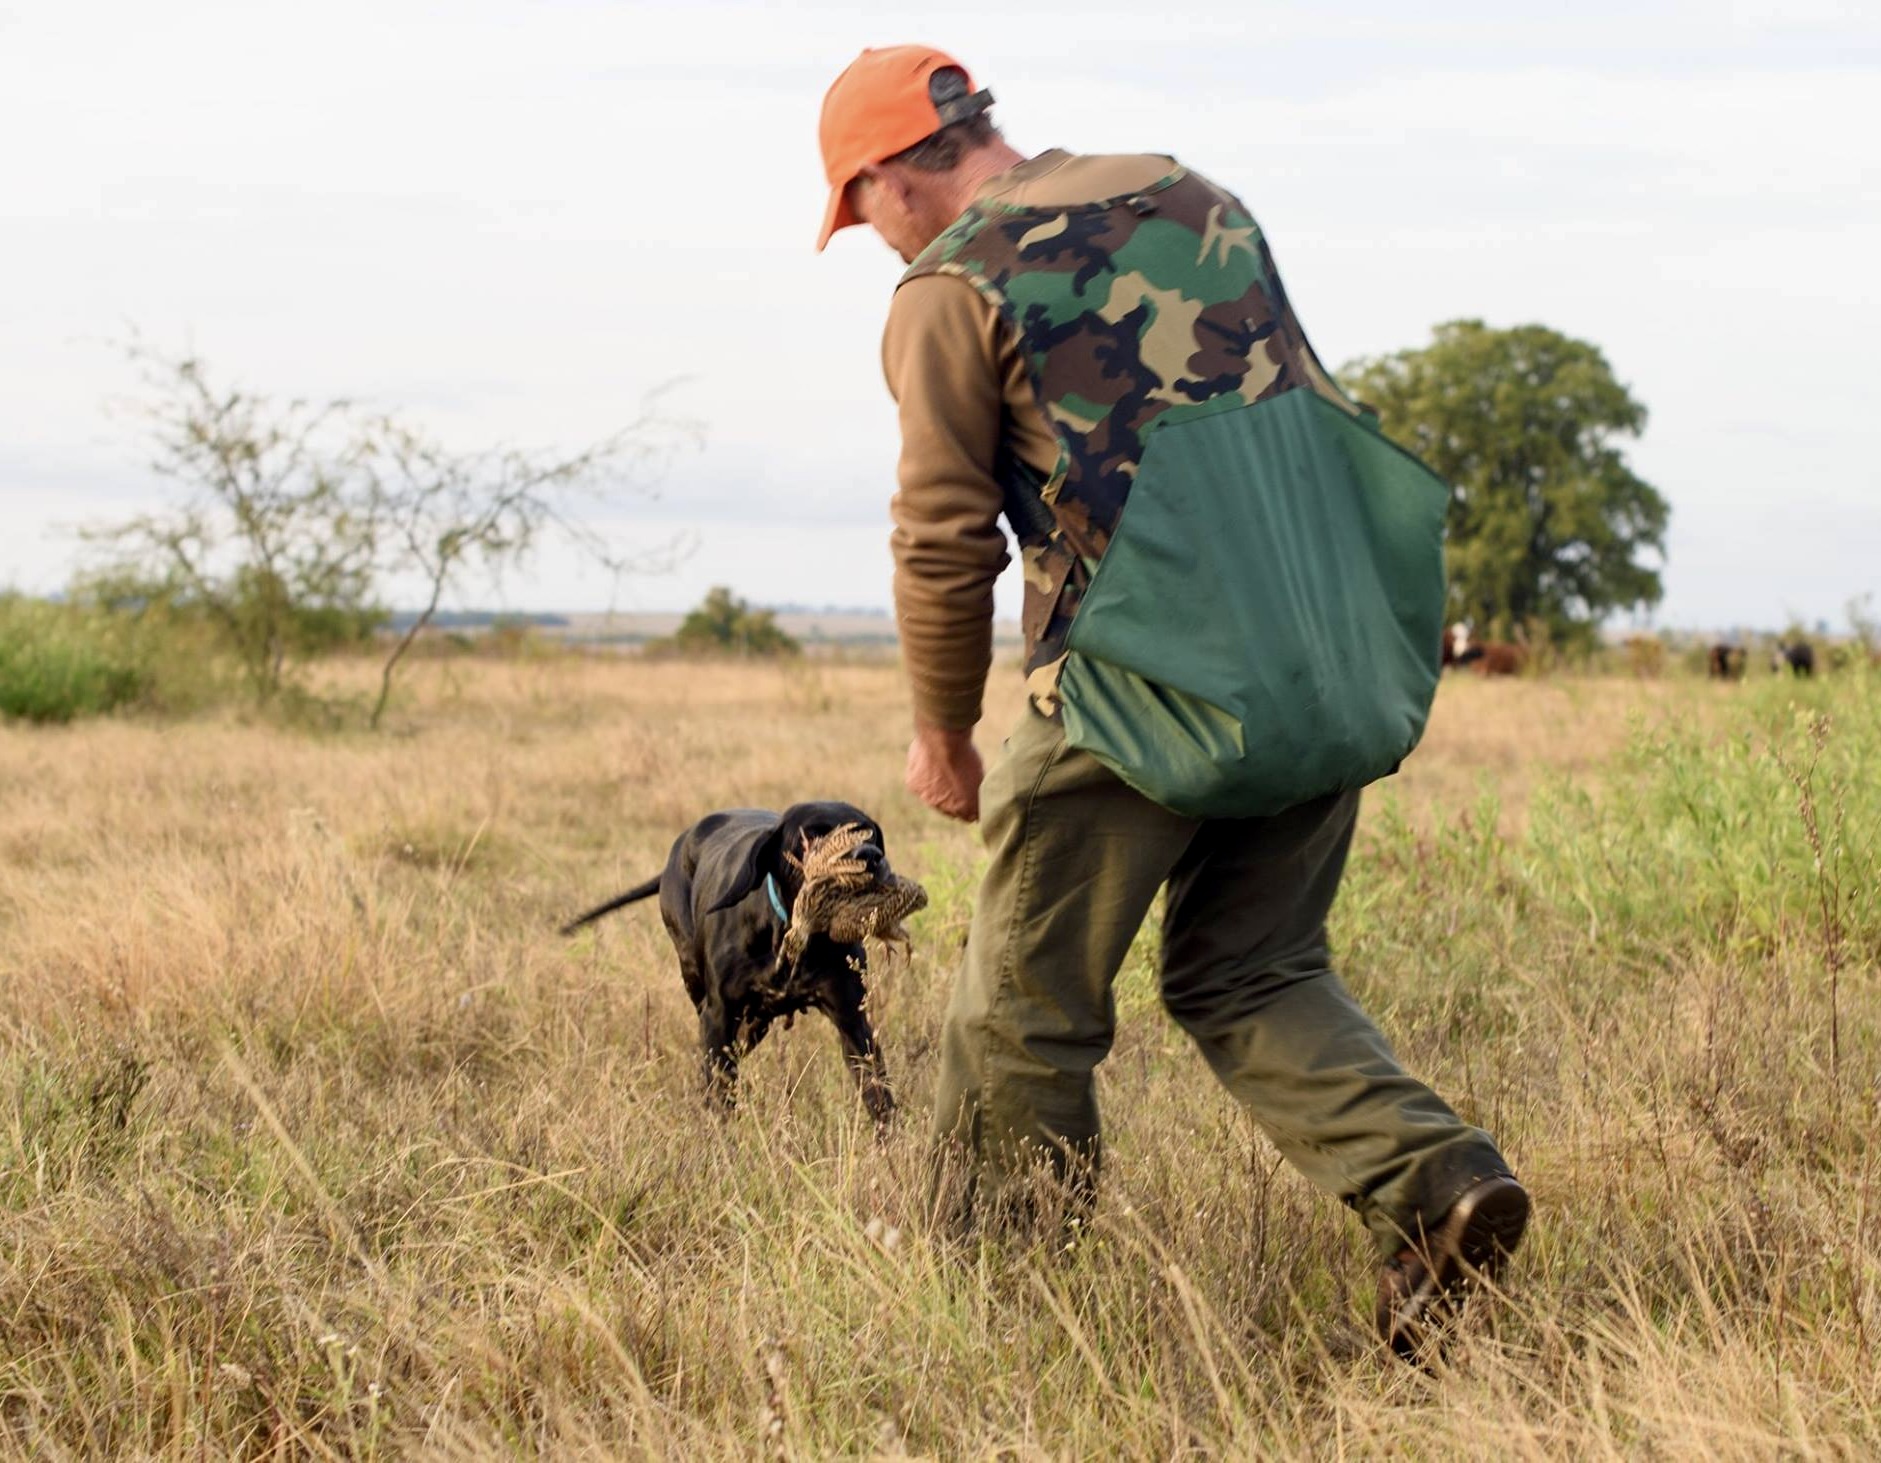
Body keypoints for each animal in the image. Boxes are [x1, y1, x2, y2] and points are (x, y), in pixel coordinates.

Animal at [564, 804, 895, 1113]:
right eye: (813, 834)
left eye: (868, 832)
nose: (870, 855)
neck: (789, 933)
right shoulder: (718, 1016)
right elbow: (720, 1090)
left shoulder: (852, 1018)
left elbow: (877, 1091)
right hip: (700, 988)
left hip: (754, 1023)